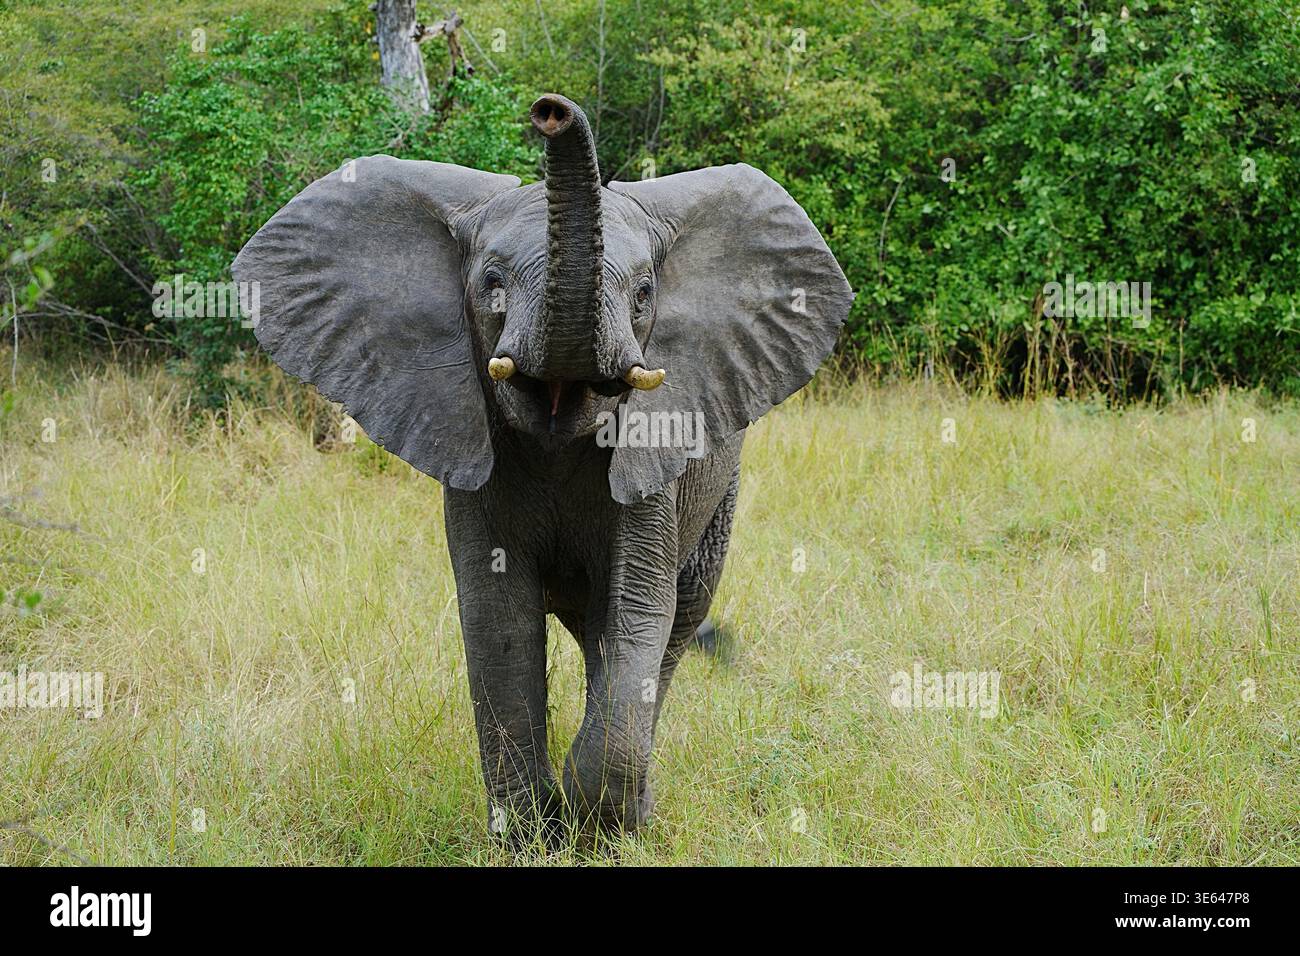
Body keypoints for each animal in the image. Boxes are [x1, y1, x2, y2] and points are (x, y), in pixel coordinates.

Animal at [232, 93, 852, 839]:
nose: (551, 111)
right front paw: (531, 834)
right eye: (491, 284)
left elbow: (637, 607)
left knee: (670, 626)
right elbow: (498, 619)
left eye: (645, 293)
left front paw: (599, 822)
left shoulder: (654, 464)